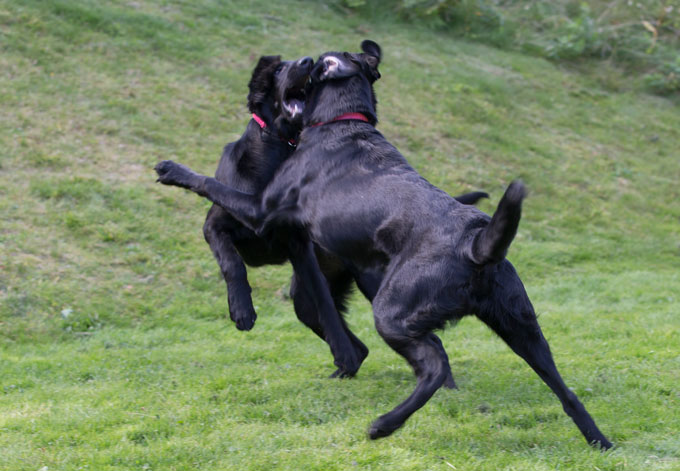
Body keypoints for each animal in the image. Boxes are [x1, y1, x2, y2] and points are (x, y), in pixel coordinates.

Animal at [157, 41, 612, 450]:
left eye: (312, 64)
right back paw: (600, 442)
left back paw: (384, 425)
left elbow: (210, 183)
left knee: (434, 365)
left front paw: (174, 170)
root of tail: (476, 246)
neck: (344, 121)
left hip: (393, 313)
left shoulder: (259, 209)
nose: (303, 58)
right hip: (524, 331)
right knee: (565, 391)